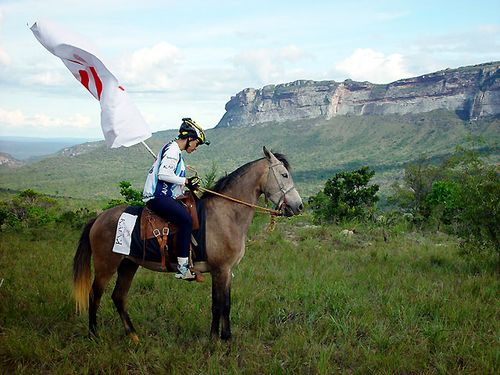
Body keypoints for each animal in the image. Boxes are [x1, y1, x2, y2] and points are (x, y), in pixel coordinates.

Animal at [72, 147, 302, 340]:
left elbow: (225, 304)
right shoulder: (220, 270)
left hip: (128, 264)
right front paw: (215, 340)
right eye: (284, 174)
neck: (227, 215)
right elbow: (218, 305)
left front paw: (226, 338)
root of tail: (98, 218)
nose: (298, 206)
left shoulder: (227, 271)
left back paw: (134, 336)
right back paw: (94, 335)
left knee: (119, 297)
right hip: (106, 266)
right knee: (95, 295)